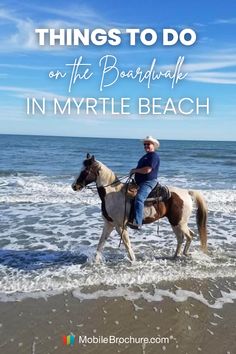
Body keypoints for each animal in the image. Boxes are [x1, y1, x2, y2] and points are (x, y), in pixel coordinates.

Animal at [71, 153, 207, 262]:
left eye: (85, 171)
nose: (74, 186)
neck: (112, 194)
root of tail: (187, 192)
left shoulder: (120, 226)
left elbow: (127, 244)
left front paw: (133, 261)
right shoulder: (109, 224)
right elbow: (100, 244)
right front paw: (95, 262)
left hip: (179, 222)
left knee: (189, 235)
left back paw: (183, 254)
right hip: (175, 223)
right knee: (181, 238)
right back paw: (175, 256)